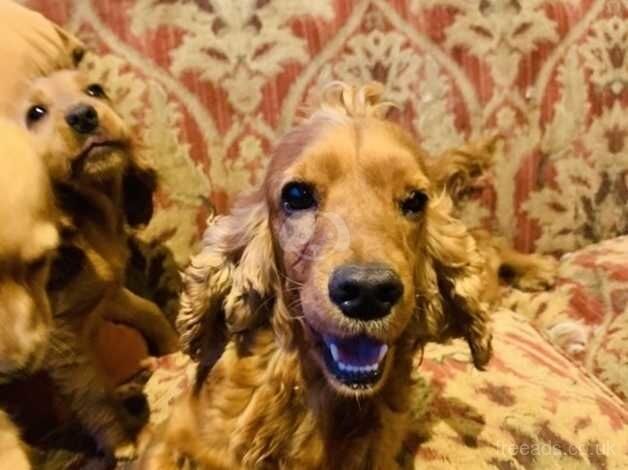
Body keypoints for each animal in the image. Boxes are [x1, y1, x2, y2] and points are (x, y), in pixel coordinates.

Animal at [15, 70, 178, 458]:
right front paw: (123, 441)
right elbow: (94, 391)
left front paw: (174, 347)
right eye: (35, 113)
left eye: (95, 90)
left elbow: (149, 310)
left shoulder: (106, 292)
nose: (83, 116)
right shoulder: (59, 340)